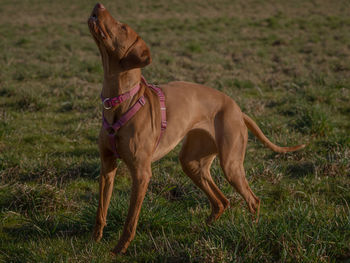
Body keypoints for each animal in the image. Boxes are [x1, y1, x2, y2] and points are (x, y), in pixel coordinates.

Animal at [87, 3, 304, 256]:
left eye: (122, 27)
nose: (99, 5)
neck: (121, 99)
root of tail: (238, 110)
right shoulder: (107, 166)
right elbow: (101, 209)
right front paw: (94, 241)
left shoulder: (141, 174)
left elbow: (131, 219)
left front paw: (120, 247)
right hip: (192, 162)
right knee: (222, 201)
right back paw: (206, 228)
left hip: (230, 164)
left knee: (253, 200)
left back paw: (253, 230)